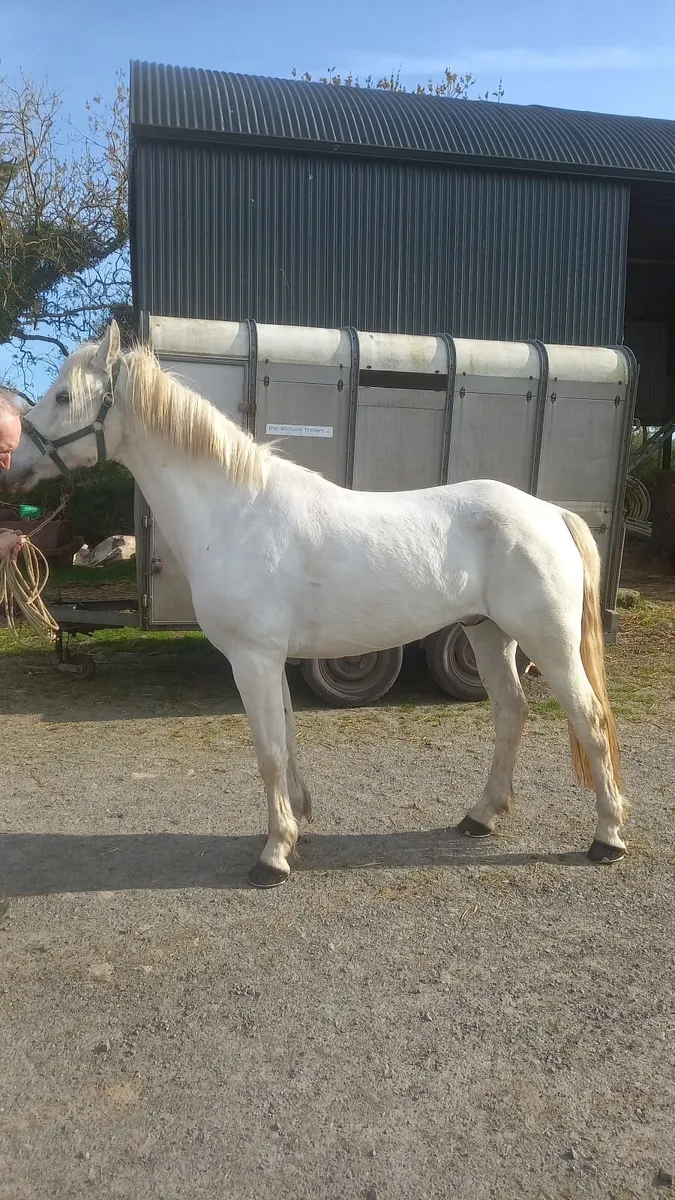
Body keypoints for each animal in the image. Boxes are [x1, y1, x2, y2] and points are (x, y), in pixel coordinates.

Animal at [8, 321, 628, 887]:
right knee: (510, 714)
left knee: (590, 721)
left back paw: (607, 838)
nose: (13, 465)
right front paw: (295, 824)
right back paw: (481, 817)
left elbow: (268, 752)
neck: (235, 512)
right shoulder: (270, 659)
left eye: (63, 396)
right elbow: (286, 739)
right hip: (488, 633)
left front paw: (273, 857)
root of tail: (550, 512)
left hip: (549, 642)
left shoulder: (252, 659)